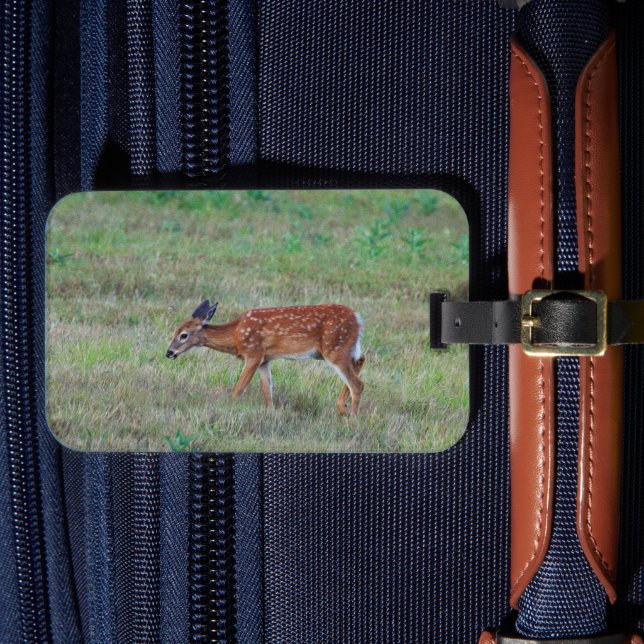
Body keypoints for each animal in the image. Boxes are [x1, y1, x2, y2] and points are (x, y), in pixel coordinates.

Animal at [166, 300, 365, 415]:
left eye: (183, 335)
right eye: (175, 331)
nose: (169, 353)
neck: (236, 335)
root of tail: (358, 318)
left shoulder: (253, 353)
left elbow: (239, 388)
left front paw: (229, 408)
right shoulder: (265, 359)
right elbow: (266, 390)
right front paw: (272, 414)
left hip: (335, 348)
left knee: (358, 384)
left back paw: (352, 419)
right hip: (343, 349)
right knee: (361, 361)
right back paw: (343, 408)